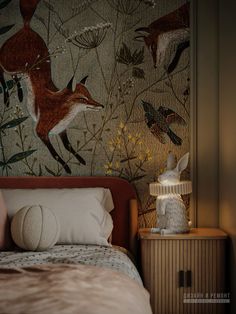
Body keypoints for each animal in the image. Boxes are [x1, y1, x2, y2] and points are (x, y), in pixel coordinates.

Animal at [0, 0, 103, 174]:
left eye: (90, 96)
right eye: (82, 98)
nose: (101, 106)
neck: (62, 110)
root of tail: (26, 27)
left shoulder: (61, 130)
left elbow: (69, 148)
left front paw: (81, 160)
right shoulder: (41, 131)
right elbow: (55, 154)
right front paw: (66, 168)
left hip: (19, 70)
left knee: (14, 77)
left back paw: (19, 93)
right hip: (9, 65)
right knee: (0, 71)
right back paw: (7, 96)